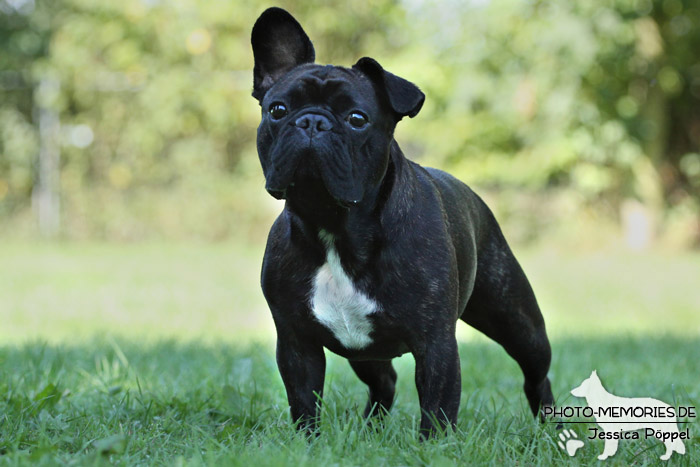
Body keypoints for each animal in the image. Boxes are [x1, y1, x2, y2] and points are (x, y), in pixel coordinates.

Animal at [250, 8, 552, 438]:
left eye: (357, 118)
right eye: (277, 110)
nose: (312, 122)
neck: (334, 226)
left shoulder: (436, 344)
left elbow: (438, 406)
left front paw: (434, 446)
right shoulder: (296, 341)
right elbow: (304, 401)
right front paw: (308, 442)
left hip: (516, 319)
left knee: (536, 372)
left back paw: (551, 427)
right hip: (363, 351)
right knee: (385, 381)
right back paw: (371, 430)